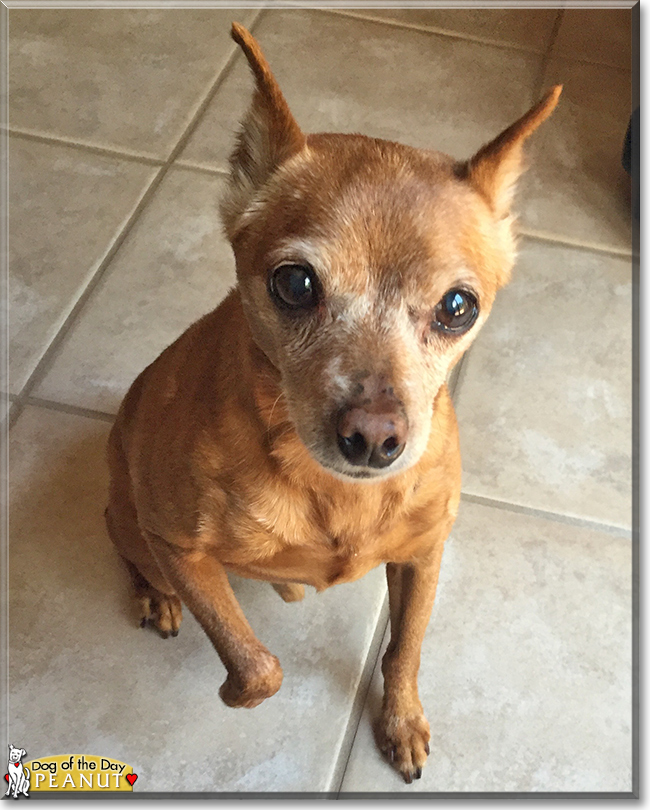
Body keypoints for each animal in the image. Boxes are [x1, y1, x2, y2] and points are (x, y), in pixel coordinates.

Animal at [105, 23, 556, 784]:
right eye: (295, 284)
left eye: (458, 307)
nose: (374, 436)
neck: (333, 493)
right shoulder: (178, 544)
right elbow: (258, 669)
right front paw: (233, 680)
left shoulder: (424, 555)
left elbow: (404, 651)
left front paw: (401, 721)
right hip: (131, 521)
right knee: (126, 544)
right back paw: (154, 594)